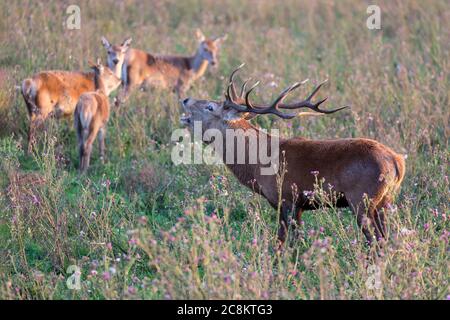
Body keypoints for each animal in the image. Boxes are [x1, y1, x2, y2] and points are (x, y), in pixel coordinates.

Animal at [181, 64, 406, 245]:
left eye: (210, 107)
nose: (185, 99)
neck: (256, 164)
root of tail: (397, 162)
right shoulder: (298, 205)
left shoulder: (285, 198)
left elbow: (284, 242)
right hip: (385, 200)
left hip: (362, 198)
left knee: (377, 240)